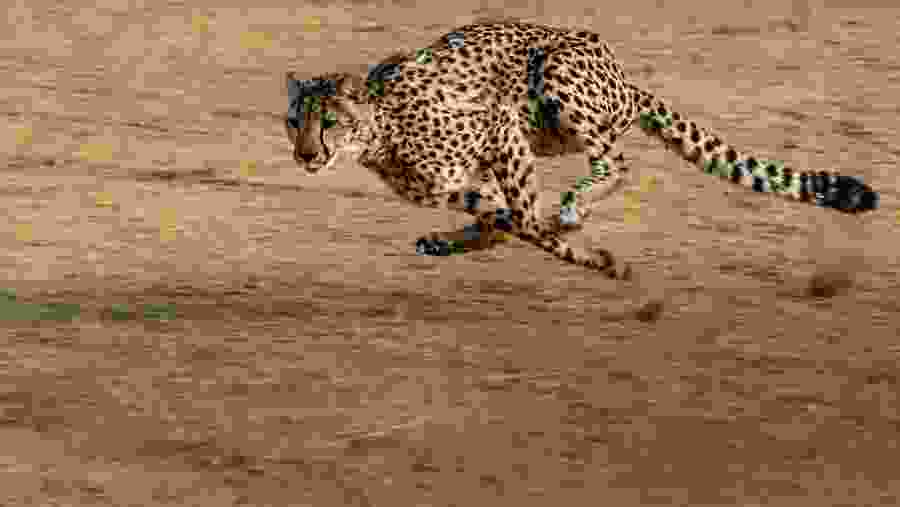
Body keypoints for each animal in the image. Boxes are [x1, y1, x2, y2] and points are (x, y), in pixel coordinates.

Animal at [284, 20, 879, 283]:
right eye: (295, 121)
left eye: (330, 122)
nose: (306, 155)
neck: (380, 132)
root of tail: (625, 78)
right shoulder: (464, 182)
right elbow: (509, 221)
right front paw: (585, 251)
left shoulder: (498, 127)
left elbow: (527, 219)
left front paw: (591, 253)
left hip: (554, 76)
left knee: (616, 161)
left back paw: (572, 208)